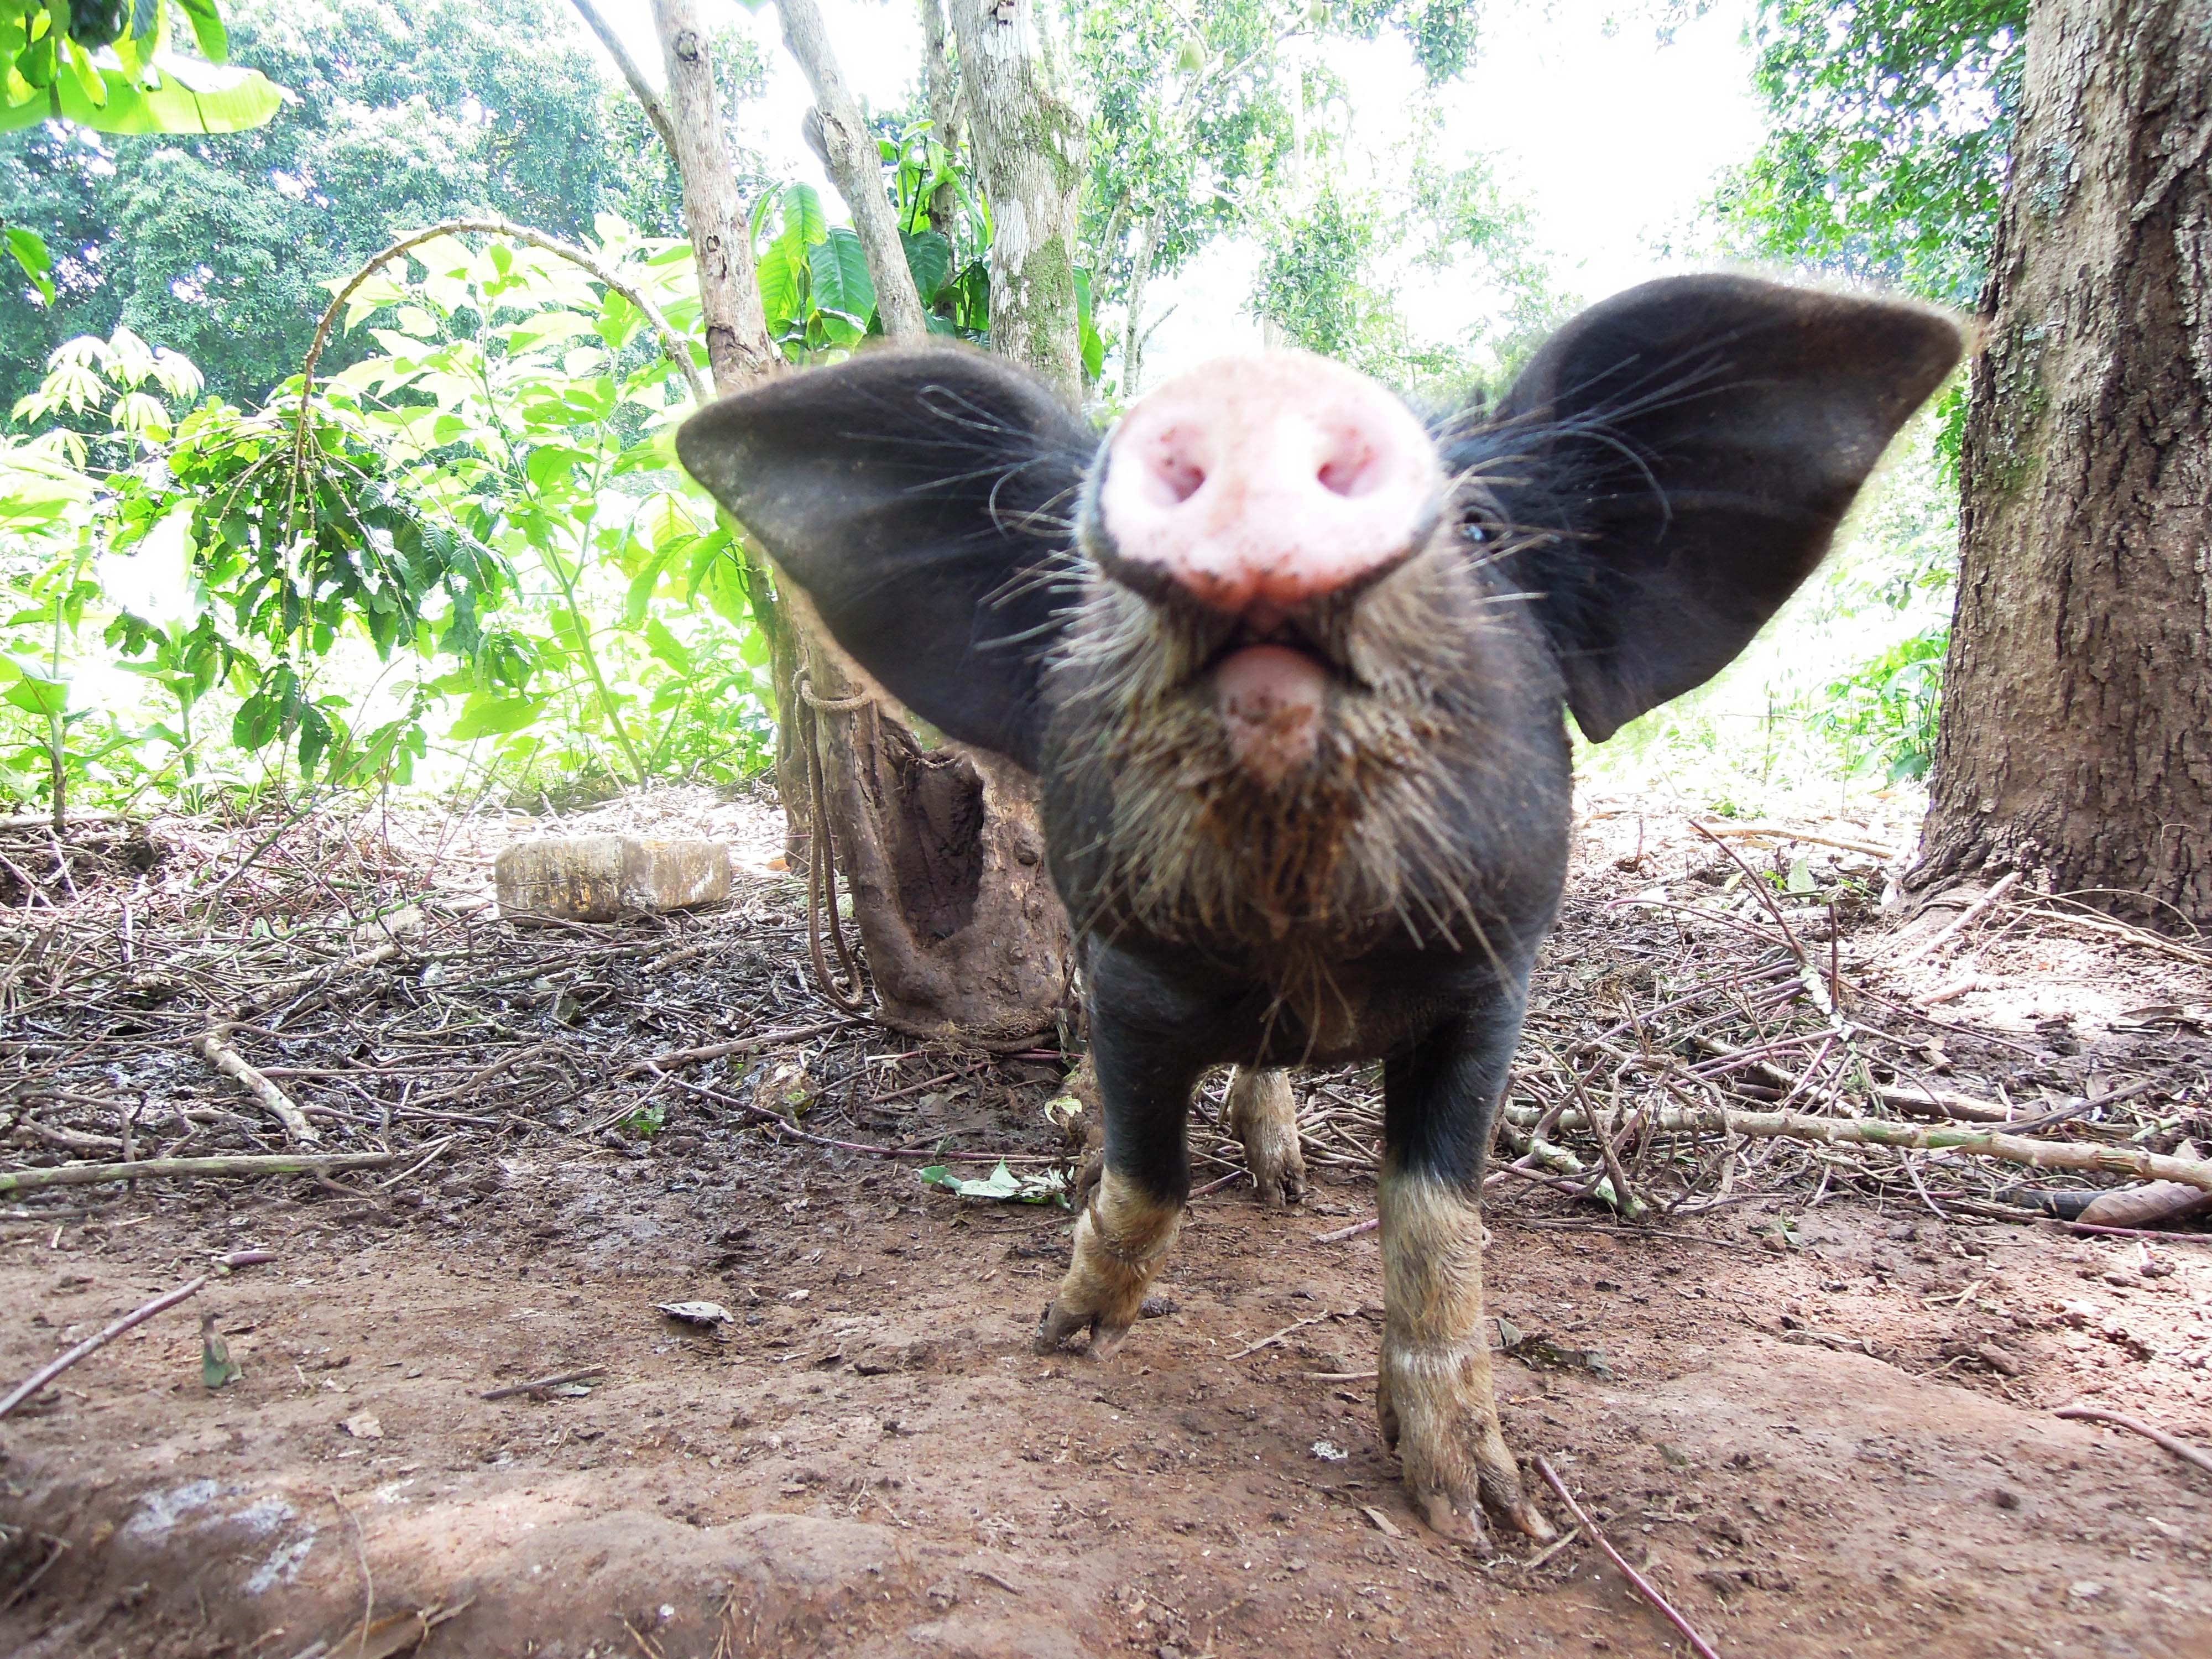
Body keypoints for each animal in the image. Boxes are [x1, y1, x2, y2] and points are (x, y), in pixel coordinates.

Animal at [677, 275, 1961, 1542]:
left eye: (1485, 531)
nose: (1265, 389)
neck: (1309, 951)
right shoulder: (1134, 980)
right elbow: (1149, 1173)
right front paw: (1065, 1333)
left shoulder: (1491, 990)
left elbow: (1439, 1215)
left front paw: (1476, 1513)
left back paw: (1287, 1184)